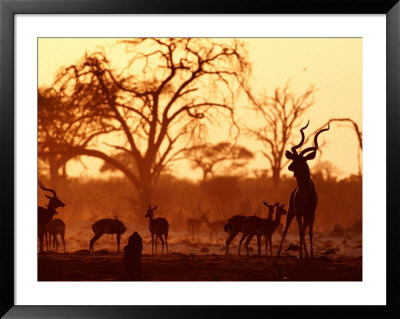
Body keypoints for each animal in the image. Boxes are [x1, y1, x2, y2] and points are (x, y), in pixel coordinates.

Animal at [276, 121, 330, 258]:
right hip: (291, 212)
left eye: (300, 159)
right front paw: (301, 254)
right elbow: (300, 232)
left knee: (304, 230)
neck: (305, 194)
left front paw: (311, 255)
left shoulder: (312, 214)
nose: (290, 167)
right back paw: (279, 253)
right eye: (293, 158)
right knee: (286, 230)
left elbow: (309, 232)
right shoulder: (299, 213)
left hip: (304, 216)